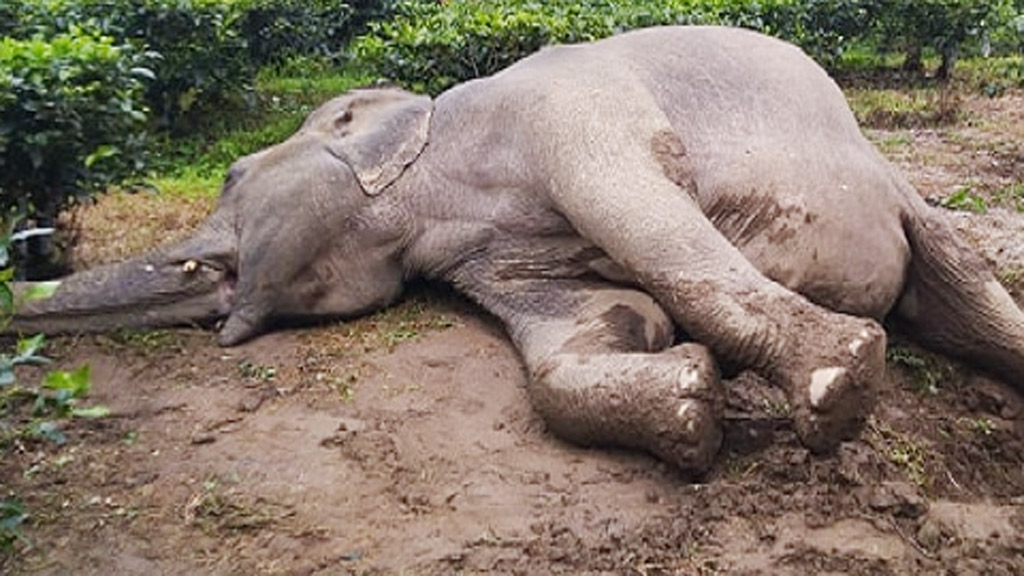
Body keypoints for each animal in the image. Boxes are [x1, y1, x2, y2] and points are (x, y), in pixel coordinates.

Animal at [9, 25, 1024, 475]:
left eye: (229, 175)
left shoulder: (567, 111)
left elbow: (646, 218)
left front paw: (838, 381)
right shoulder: (484, 259)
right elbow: (585, 329)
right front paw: (690, 403)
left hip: (893, 182)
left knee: (964, 279)